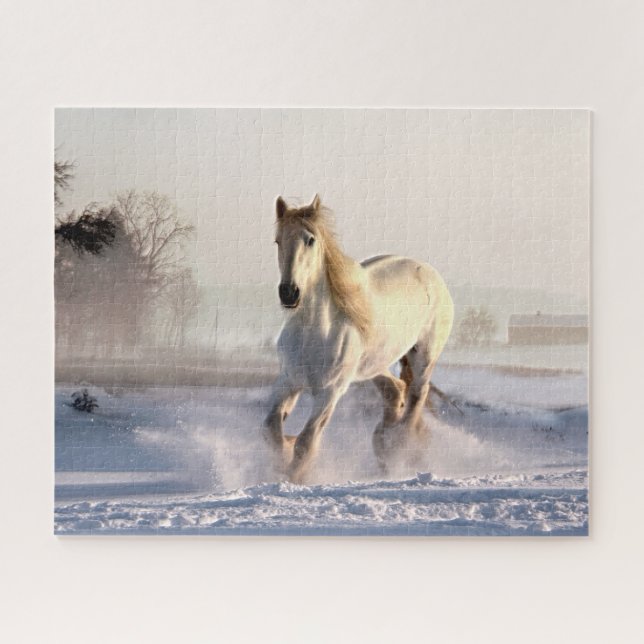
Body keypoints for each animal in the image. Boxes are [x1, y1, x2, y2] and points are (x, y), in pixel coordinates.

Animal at [262, 194, 454, 483]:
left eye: (310, 240)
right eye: (278, 240)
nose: (289, 293)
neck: (314, 331)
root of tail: (431, 274)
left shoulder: (330, 392)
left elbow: (306, 443)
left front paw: (294, 477)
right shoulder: (288, 380)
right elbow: (272, 429)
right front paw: (284, 453)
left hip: (423, 357)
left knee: (416, 396)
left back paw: (397, 446)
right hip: (373, 365)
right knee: (395, 390)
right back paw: (383, 443)